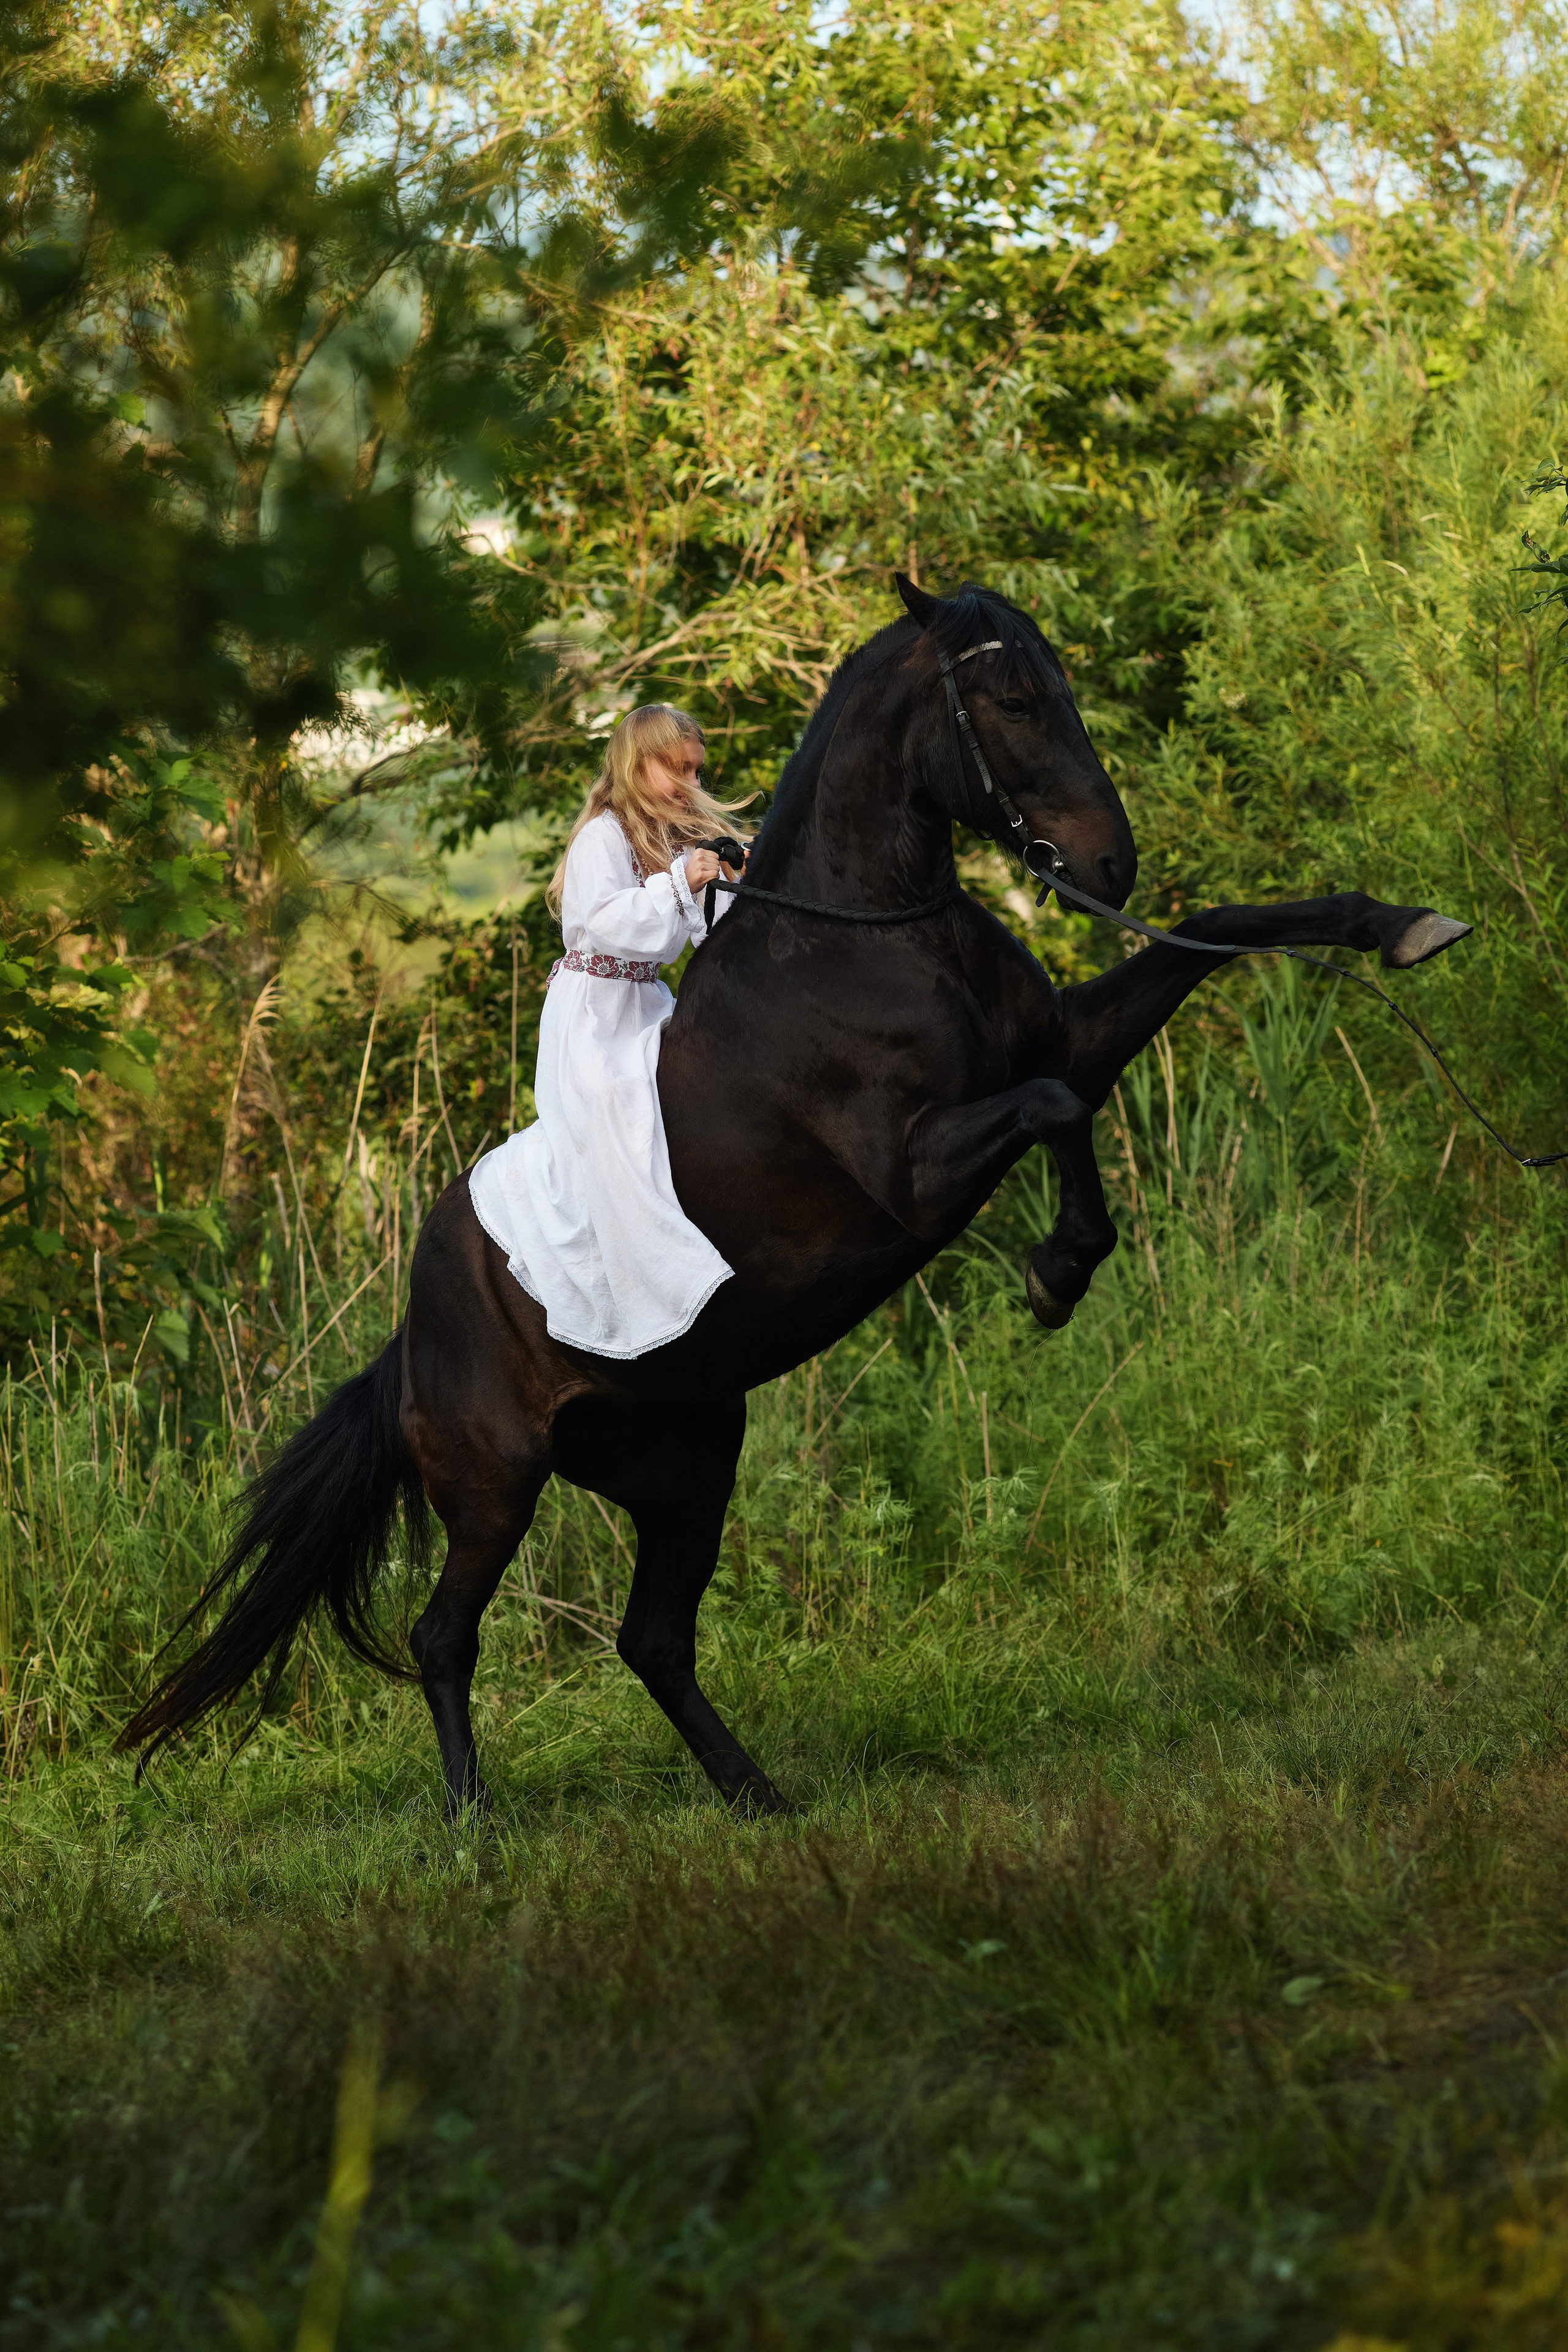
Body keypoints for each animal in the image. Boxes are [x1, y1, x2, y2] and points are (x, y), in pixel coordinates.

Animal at [122, 575, 1471, 1817]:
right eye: (1010, 700)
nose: (1105, 864)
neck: (868, 935)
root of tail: (413, 1321)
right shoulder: (919, 1171)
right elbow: (1054, 1109)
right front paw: (1058, 1272)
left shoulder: (1070, 1042)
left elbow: (1211, 939)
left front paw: (1406, 925)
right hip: (495, 1484)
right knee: (445, 1637)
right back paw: (474, 1822)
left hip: (682, 1458)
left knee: (652, 1640)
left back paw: (756, 1796)